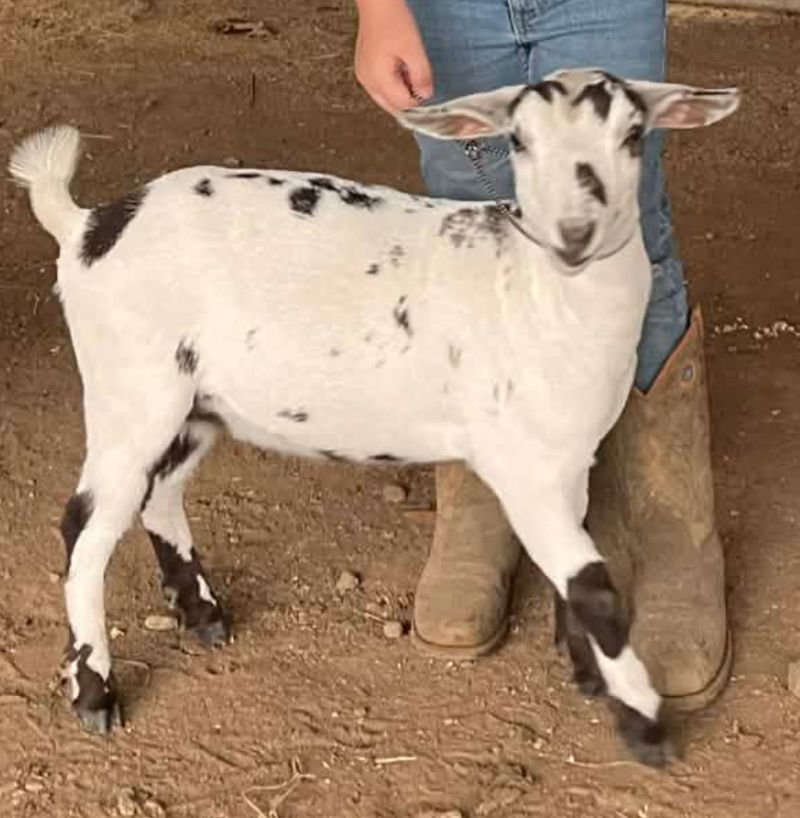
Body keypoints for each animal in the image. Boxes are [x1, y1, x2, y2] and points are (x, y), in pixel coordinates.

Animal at [9, 68, 738, 765]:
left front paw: (586, 669)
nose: (575, 234)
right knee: (85, 529)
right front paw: (645, 727)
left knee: (158, 495)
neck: (534, 288)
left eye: (634, 135)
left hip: (195, 404)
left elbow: (576, 566)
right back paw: (95, 691)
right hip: (131, 389)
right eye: (519, 140)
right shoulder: (524, 465)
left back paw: (202, 614)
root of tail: (87, 227)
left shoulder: (572, 454)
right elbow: (595, 590)